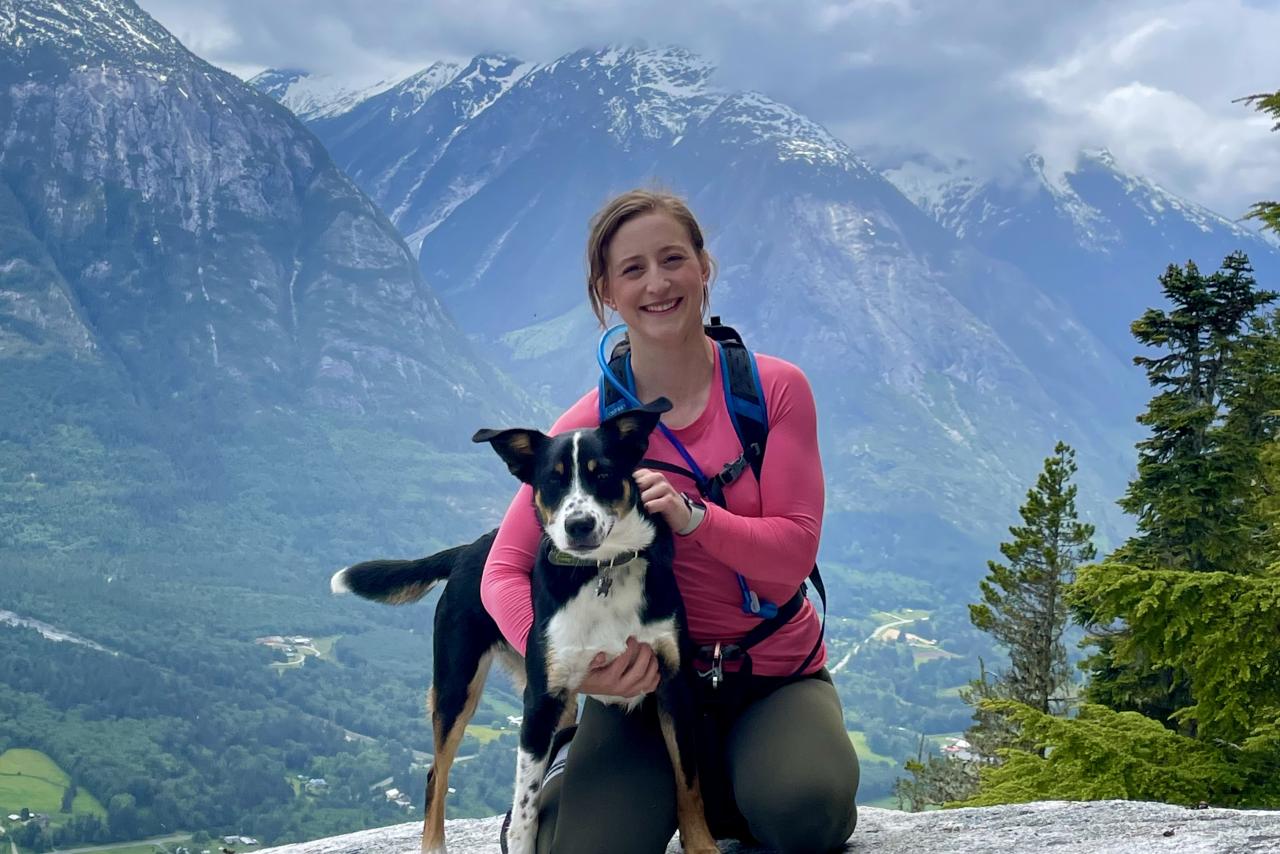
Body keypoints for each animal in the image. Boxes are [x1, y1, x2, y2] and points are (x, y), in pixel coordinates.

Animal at [330, 402, 716, 854]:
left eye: (602, 473)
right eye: (552, 480)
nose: (579, 525)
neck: (600, 572)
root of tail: (468, 550)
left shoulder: (675, 684)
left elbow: (688, 780)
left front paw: (701, 844)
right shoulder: (540, 702)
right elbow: (526, 804)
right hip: (456, 686)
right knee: (435, 774)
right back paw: (434, 845)